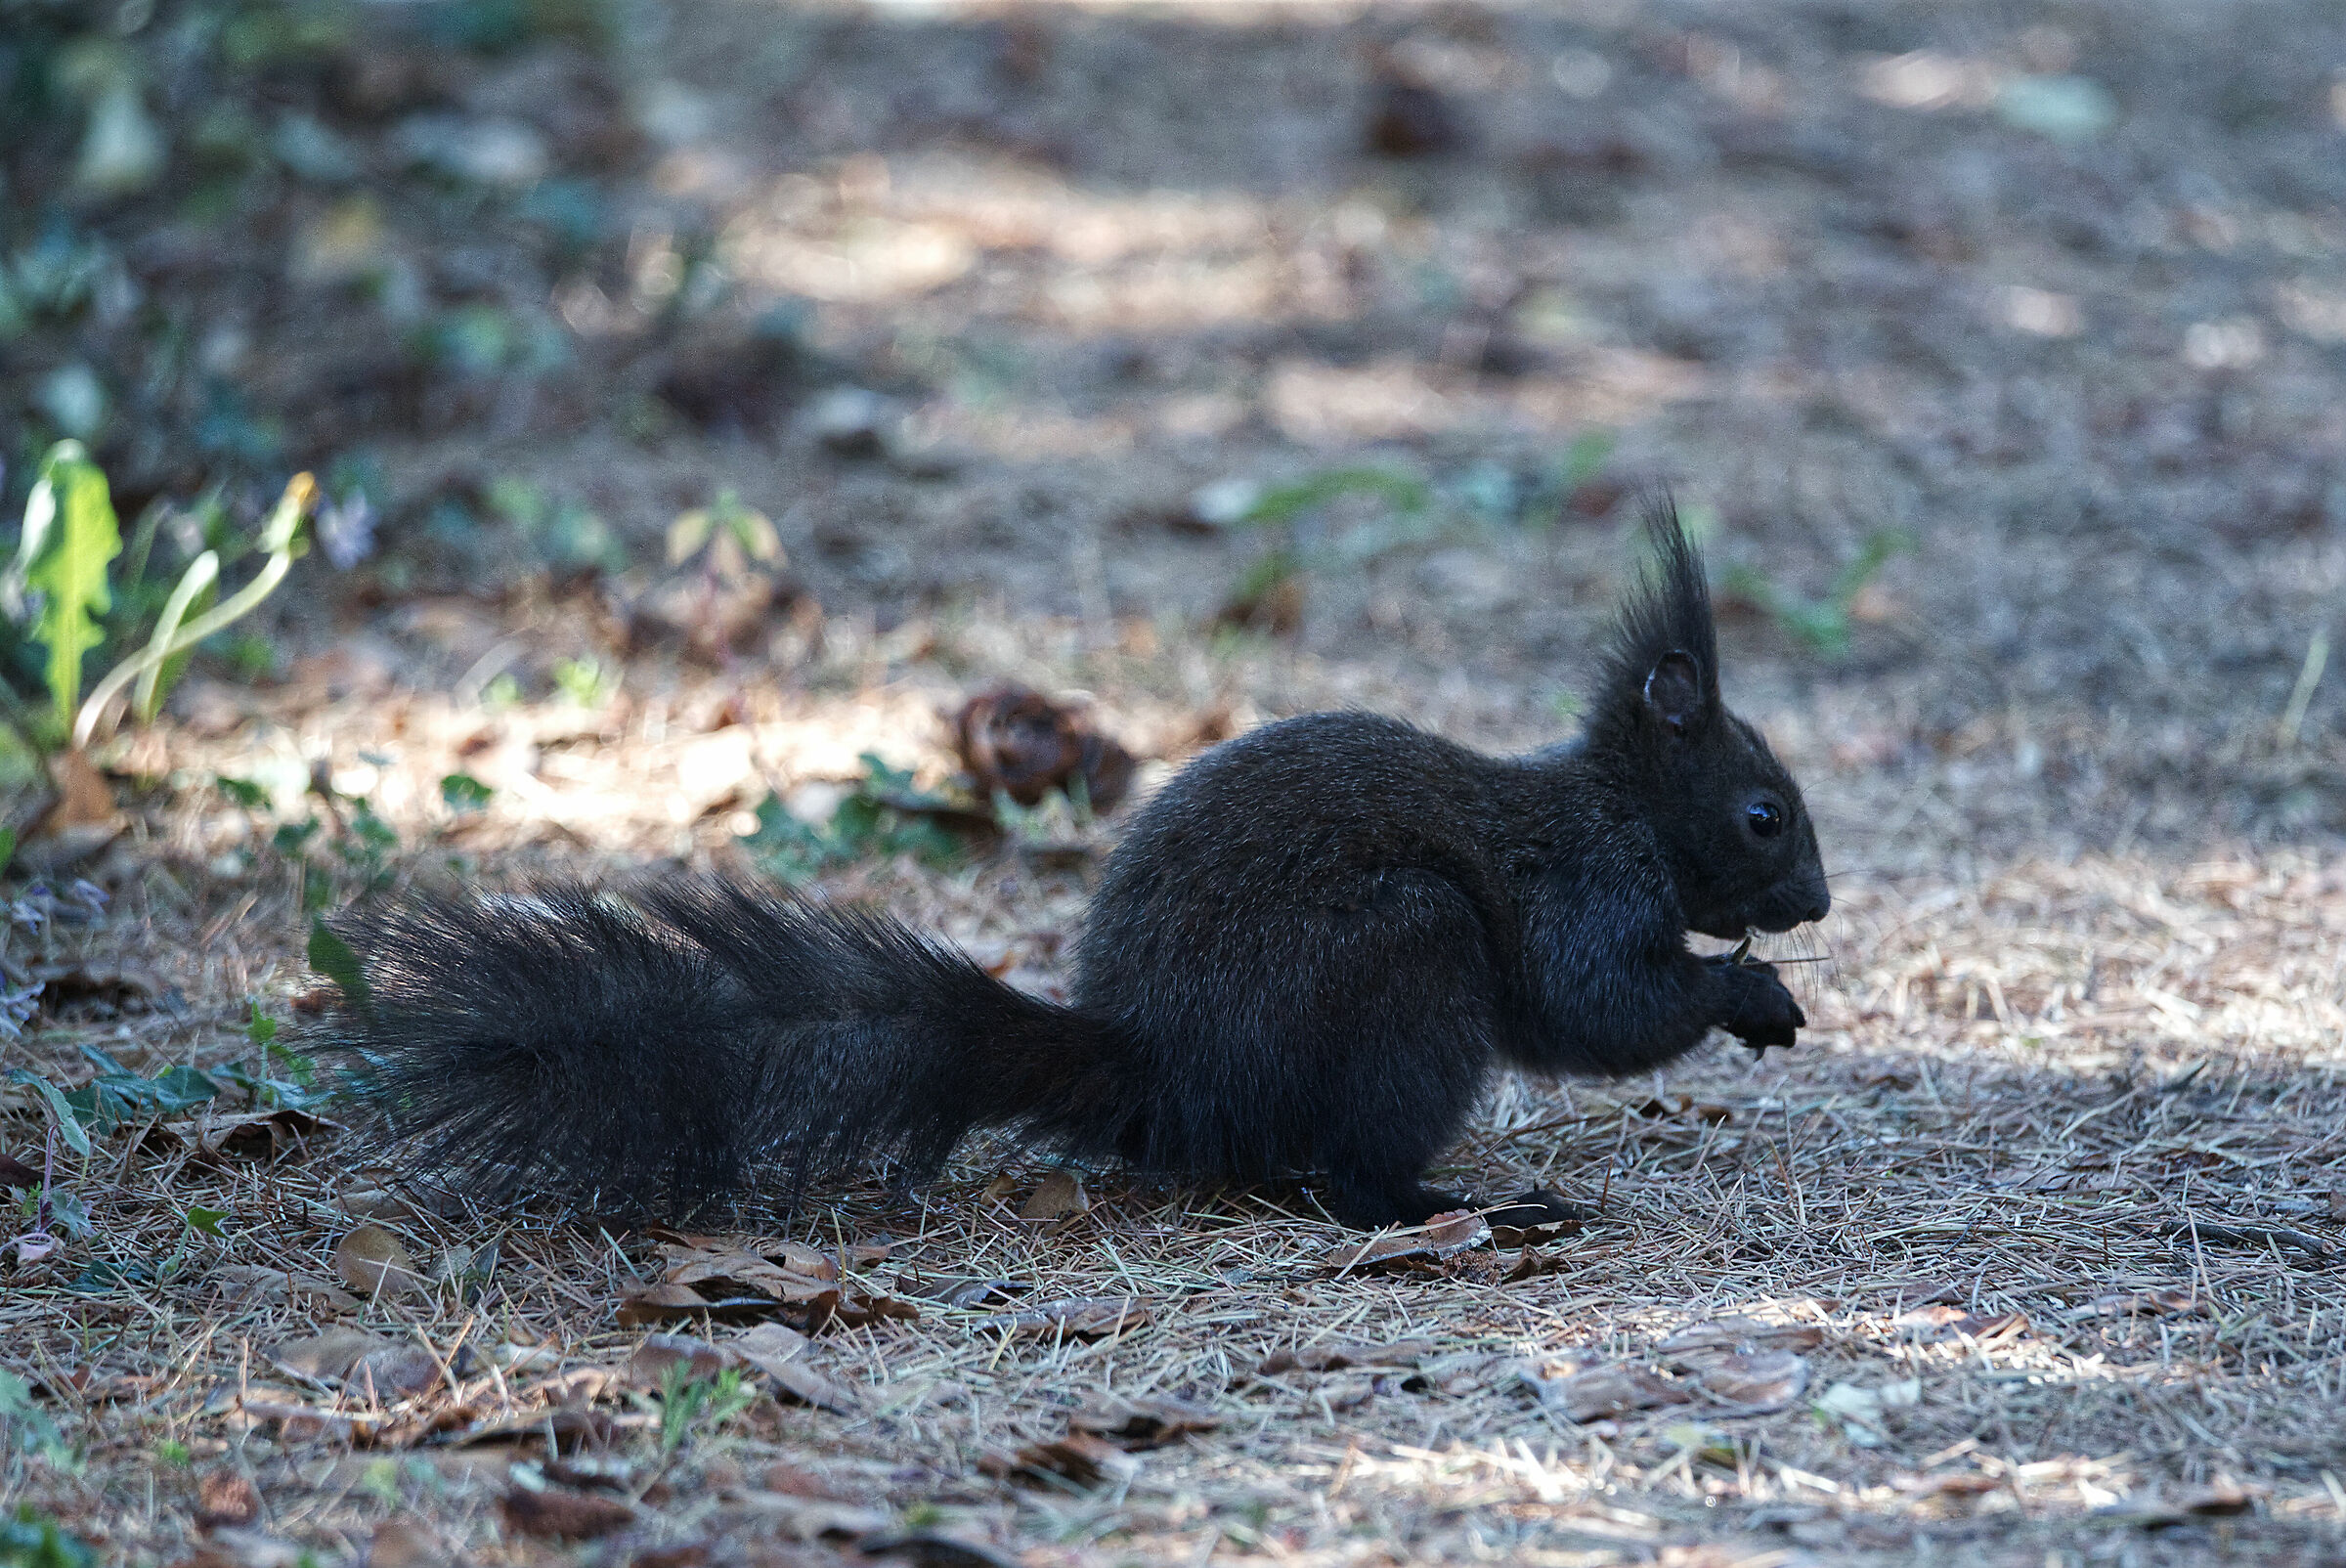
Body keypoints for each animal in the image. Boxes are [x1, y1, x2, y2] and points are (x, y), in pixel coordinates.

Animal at [312, 502, 1829, 1230]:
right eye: (1766, 814)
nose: (1817, 902)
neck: (1625, 805)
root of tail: (1164, 1070)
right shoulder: (1583, 884)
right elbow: (1598, 1008)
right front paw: (1745, 994)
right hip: (1405, 957)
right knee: (1347, 1171)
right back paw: (1449, 1205)